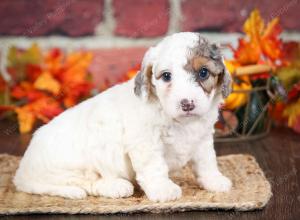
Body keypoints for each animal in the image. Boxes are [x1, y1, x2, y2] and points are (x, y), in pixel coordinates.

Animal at [14, 31, 233, 202]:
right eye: (166, 76)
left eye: (203, 72)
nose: (187, 103)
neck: (180, 122)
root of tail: (22, 172)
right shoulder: (146, 143)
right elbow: (154, 166)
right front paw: (163, 189)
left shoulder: (203, 139)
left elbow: (207, 162)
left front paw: (214, 180)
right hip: (77, 164)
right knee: (88, 183)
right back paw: (116, 186)